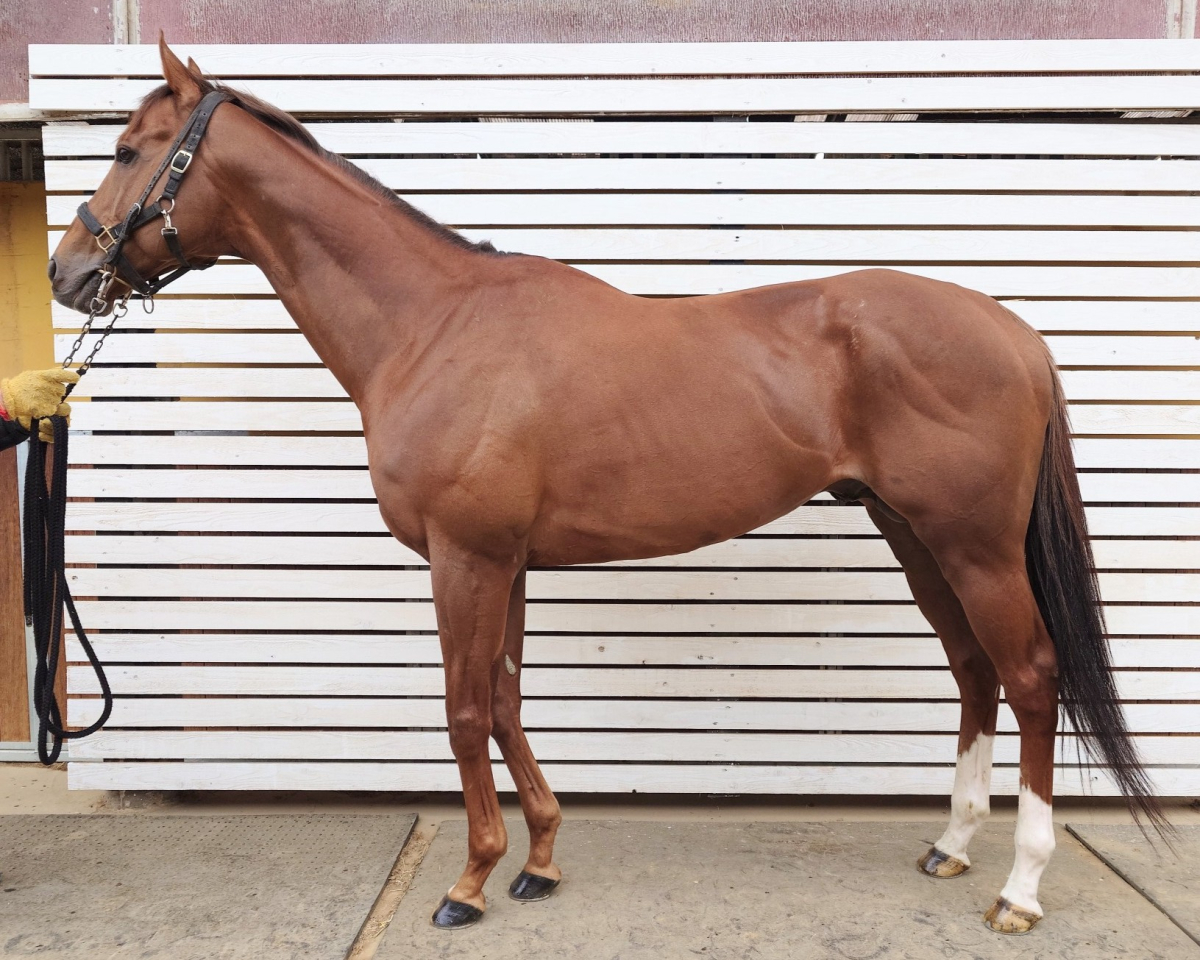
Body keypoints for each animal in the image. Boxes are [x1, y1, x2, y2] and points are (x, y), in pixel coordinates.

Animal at [49, 39, 1166, 933]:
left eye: (127, 151)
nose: (66, 273)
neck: (433, 325)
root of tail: (1012, 330)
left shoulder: (465, 558)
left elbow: (464, 710)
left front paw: (469, 882)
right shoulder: (506, 562)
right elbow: (506, 700)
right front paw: (538, 860)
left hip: (973, 542)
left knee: (1029, 676)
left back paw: (1019, 889)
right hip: (915, 535)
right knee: (974, 673)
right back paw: (954, 846)